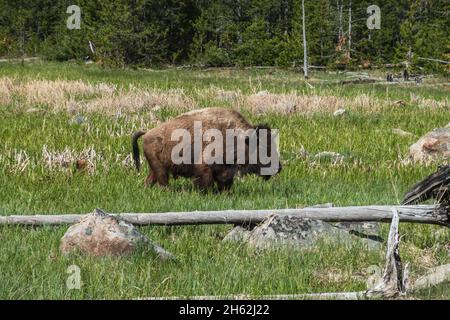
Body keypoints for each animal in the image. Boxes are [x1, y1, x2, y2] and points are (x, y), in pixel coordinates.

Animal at [131, 106, 282, 191]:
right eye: (263, 147)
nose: (278, 167)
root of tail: (147, 132)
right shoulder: (205, 167)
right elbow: (206, 181)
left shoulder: (226, 171)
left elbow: (224, 182)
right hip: (160, 169)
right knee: (162, 181)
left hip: (155, 168)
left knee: (150, 180)